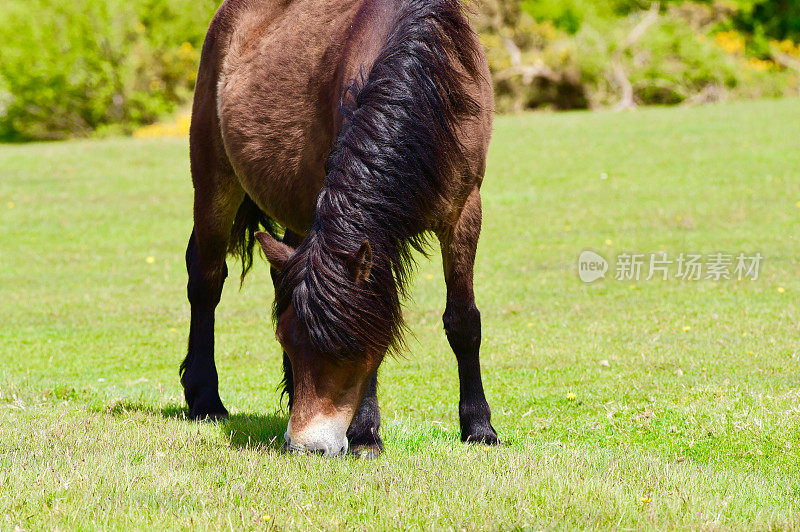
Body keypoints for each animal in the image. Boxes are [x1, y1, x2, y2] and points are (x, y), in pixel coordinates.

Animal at [182, 0, 500, 458]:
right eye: (284, 341)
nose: (307, 446)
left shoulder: (464, 212)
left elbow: (463, 321)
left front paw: (478, 427)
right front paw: (366, 433)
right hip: (214, 182)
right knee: (206, 281)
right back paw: (205, 400)